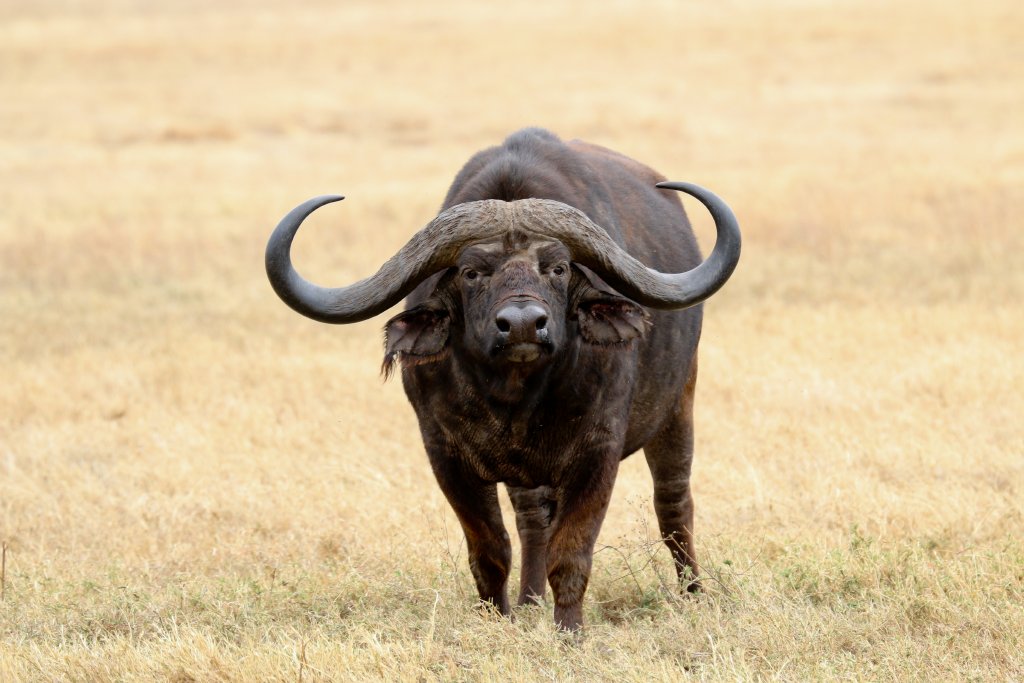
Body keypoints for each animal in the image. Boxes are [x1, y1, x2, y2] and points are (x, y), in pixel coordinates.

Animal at [265, 128, 741, 630]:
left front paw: (569, 629)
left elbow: (571, 553)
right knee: (533, 520)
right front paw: (499, 616)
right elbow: (491, 549)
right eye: (472, 271)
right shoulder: (445, 455)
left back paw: (693, 593)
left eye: (558, 267)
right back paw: (530, 600)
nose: (523, 325)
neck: (515, 398)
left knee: (673, 503)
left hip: (679, 406)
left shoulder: (598, 452)